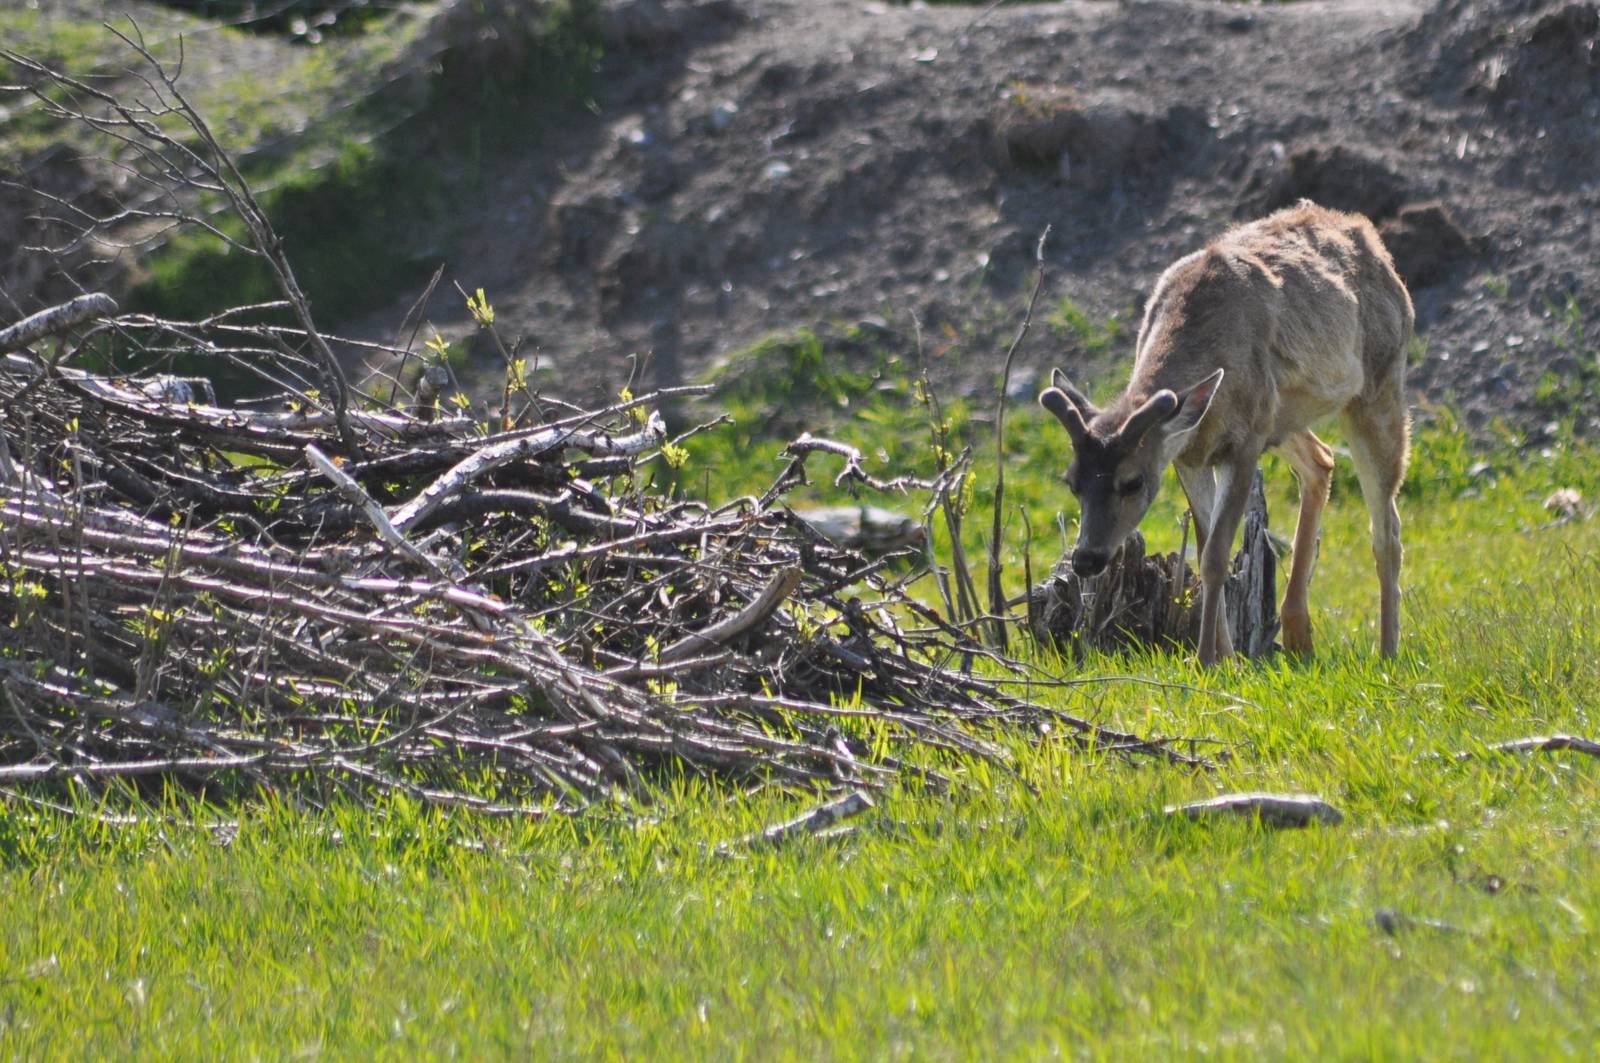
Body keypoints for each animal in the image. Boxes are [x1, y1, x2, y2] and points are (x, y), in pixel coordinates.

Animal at [1037, 202, 1414, 665]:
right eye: (1071, 482)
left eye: (1133, 482)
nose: (1087, 559)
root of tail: (1371, 239)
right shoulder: (1189, 455)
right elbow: (1201, 552)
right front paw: (1228, 658)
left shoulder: (1245, 443)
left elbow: (1217, 555)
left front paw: (1206, 659)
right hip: (1283, 416)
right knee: (1322, 460)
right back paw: (1297, 630)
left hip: (1377, 387)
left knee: (1387, 530)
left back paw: (1388, 651)